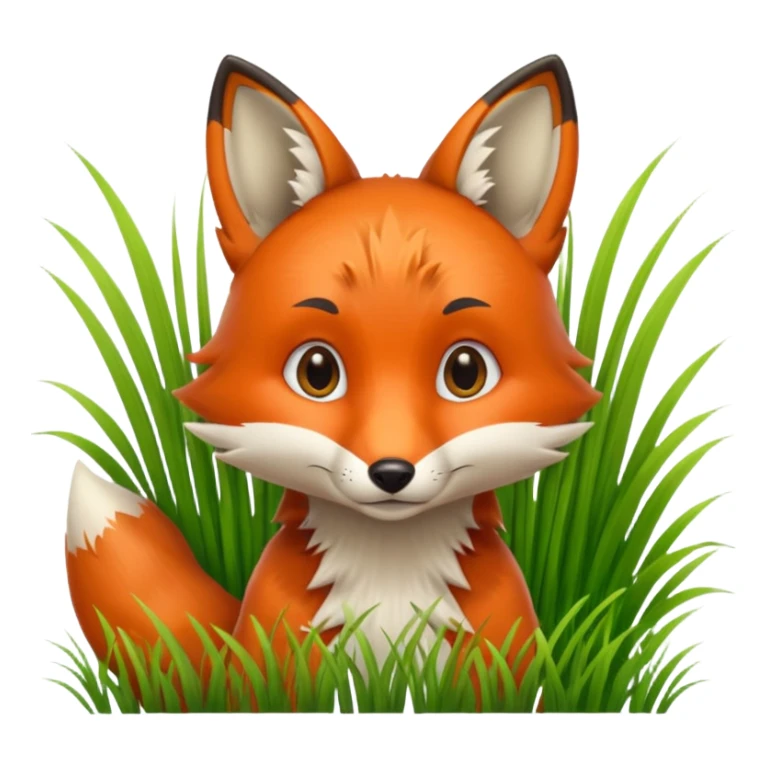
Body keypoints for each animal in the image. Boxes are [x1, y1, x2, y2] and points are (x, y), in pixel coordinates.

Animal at [65, 53, 601, 709]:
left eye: (465, 372)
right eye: (317, 371)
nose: (392, 472)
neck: (390, 580)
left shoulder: (500, 661)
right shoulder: (275, 665)